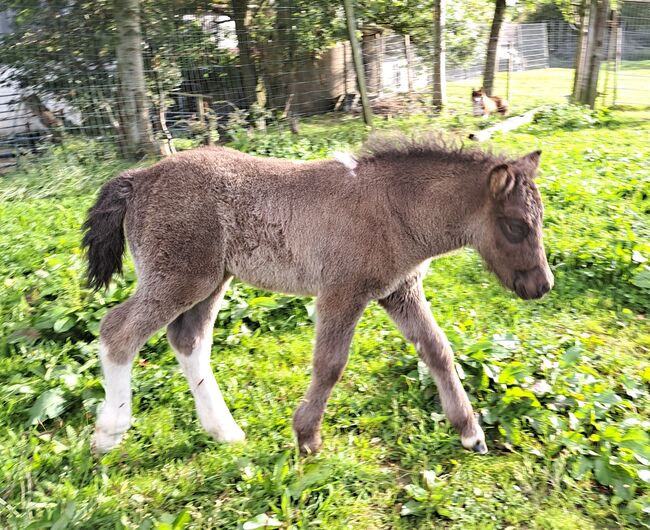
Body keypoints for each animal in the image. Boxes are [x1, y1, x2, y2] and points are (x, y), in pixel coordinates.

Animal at [83, 137, 552, 454]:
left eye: (540, 219)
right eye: (515, 225)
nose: (543, 285)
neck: (394, 208)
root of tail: (141, 177)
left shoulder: (400, 292)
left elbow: (437, 350)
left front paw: (470, 432)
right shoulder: (341, 293)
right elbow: (330, 365)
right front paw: (307, 436)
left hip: (212, 280)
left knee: (188, 339)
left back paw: (225, 431)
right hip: (180, 278)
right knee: (118, 330)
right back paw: (109, 432)